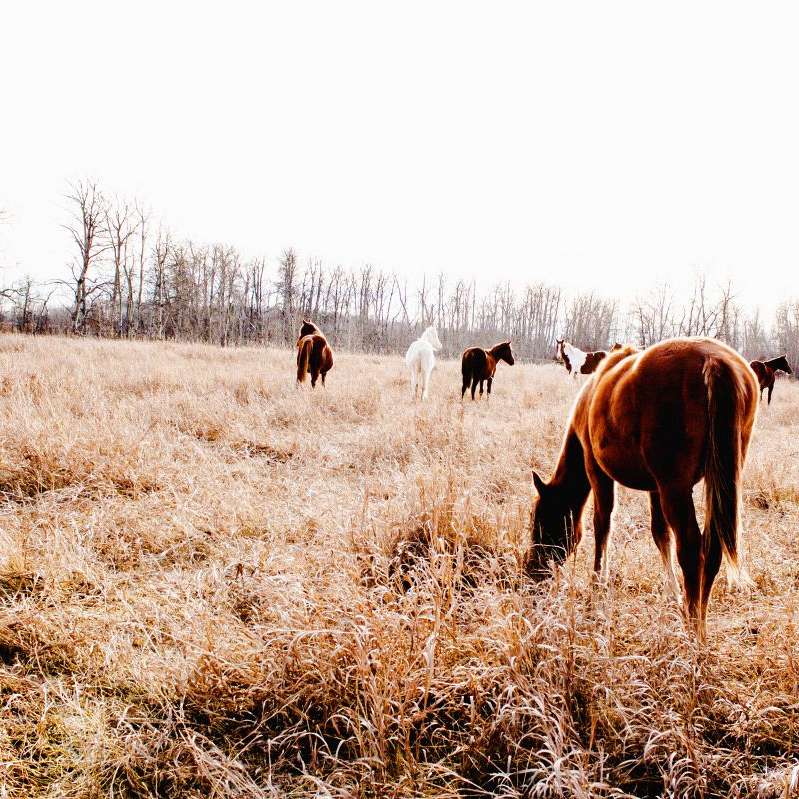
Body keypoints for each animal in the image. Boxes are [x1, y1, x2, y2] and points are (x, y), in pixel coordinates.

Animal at [528, 338, 760, 636]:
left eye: (541, 520)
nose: (533, 569)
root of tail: (713, 361)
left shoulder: (597, 470)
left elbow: (602, 525)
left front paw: (596, 586)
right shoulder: (655, 487)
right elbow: (660, 533)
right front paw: (673, 594)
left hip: (675, 488)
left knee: (691, 549)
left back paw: (692, 625)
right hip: (715, 483)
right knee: (711, 548)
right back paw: (698, 620)